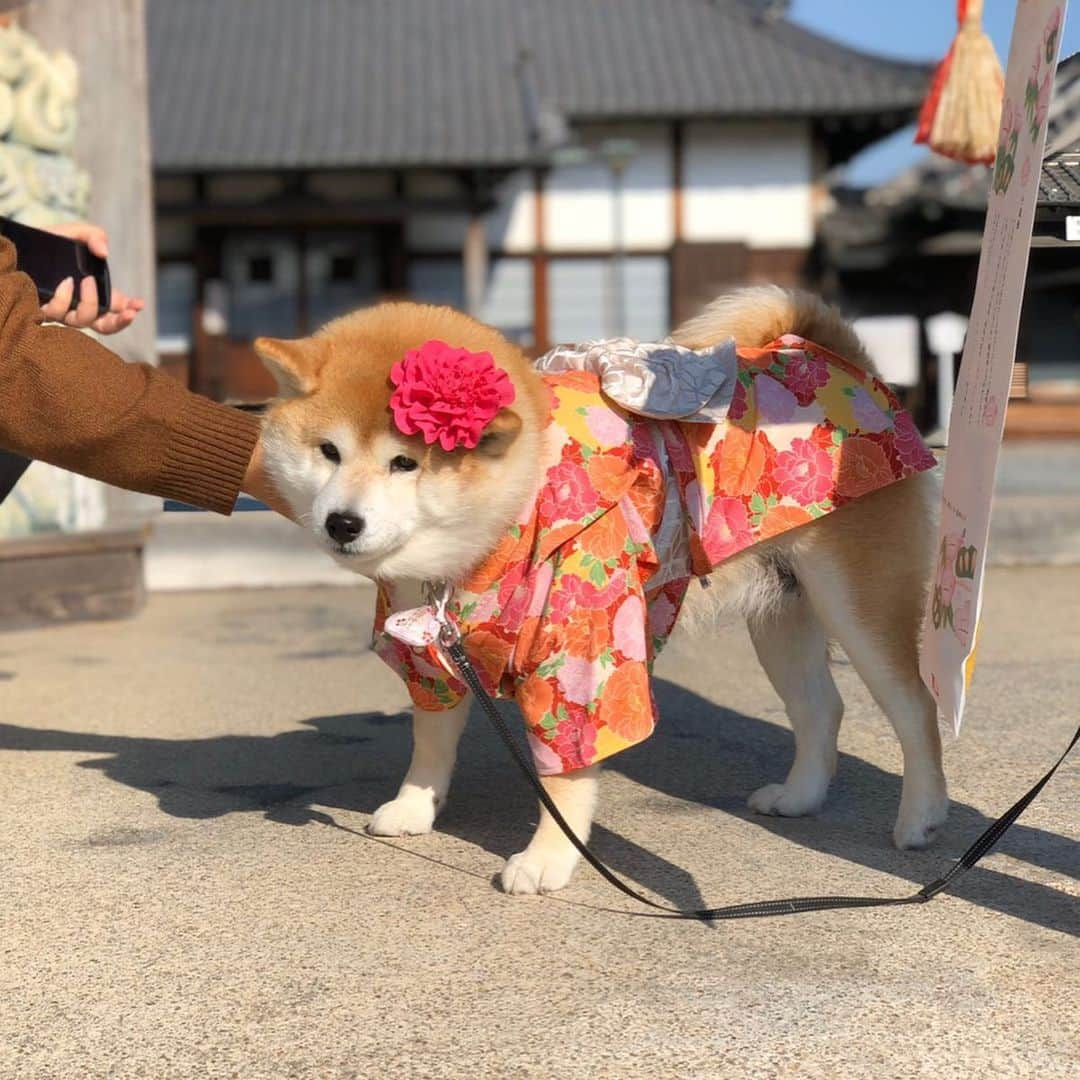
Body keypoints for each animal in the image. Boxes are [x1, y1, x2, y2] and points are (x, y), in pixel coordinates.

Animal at [257, 287, 950, 894]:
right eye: (328, 451)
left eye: (405, 462)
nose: (342, 522)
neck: (509, 518)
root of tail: (840, 358)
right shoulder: (431, 651)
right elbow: (430, 739)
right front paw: (414, 807)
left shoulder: (581, 658)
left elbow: (565, 776)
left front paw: (545, 861)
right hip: (782, 613)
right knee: (820, 709)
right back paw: (800, 797)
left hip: (859, 601)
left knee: (915, 708)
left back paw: (921, 818)